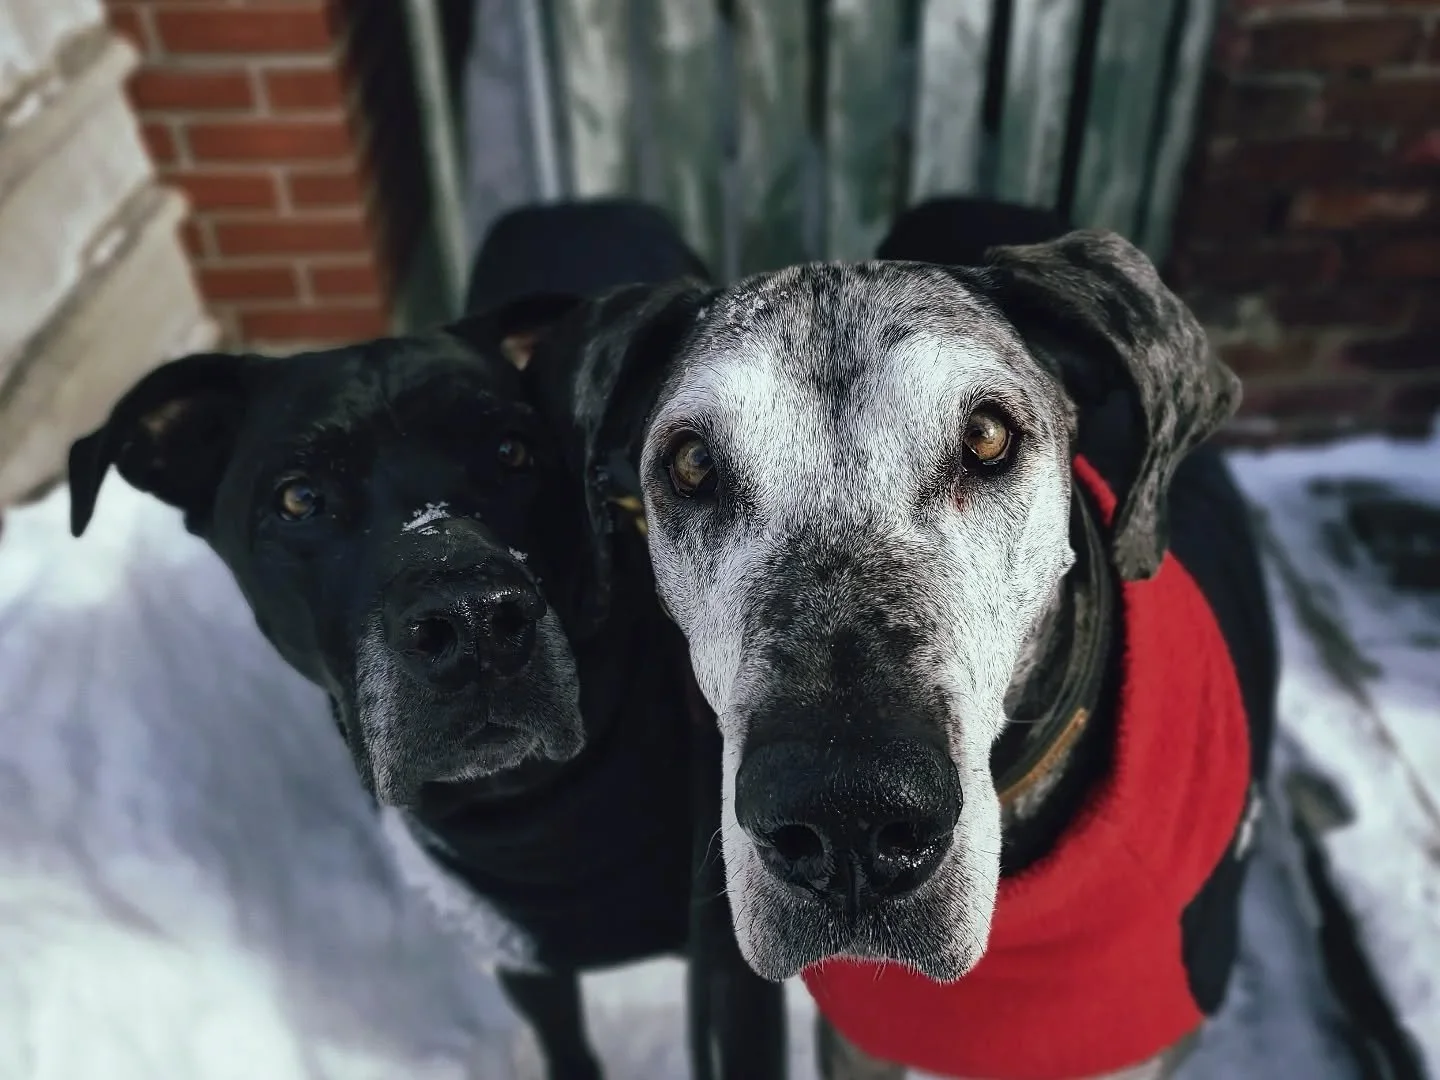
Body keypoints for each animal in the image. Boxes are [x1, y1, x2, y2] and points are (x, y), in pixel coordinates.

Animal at [65, 201, 785, 1080]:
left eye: (514, 451)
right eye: (298, 498)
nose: (471, 623)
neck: (532, 807)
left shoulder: (734, 965)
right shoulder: (519, 953)